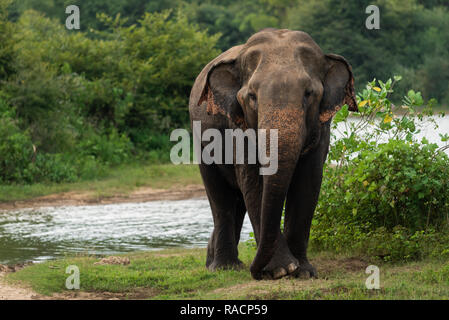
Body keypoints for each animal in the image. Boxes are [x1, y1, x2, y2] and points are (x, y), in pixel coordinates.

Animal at [187, 29, 356, 280]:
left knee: (237, 201)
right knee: (220, 197)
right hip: (201, 139)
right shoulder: (238, 125)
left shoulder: (321, 128)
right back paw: (225, 267)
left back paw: (219, 263)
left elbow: (308, 182)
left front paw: (302, 271)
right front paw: (281, 270)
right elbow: (253, 183)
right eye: (252, 96)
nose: (256, 272)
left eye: (309, 93)